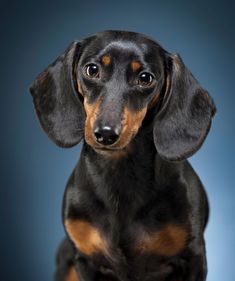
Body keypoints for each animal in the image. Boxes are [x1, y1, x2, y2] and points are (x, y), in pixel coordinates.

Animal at [30, 30, 216, 280]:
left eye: (145, 78)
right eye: (92, 69)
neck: (120, 178)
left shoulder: (193, 259)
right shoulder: (85, 259)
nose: (106, 134)